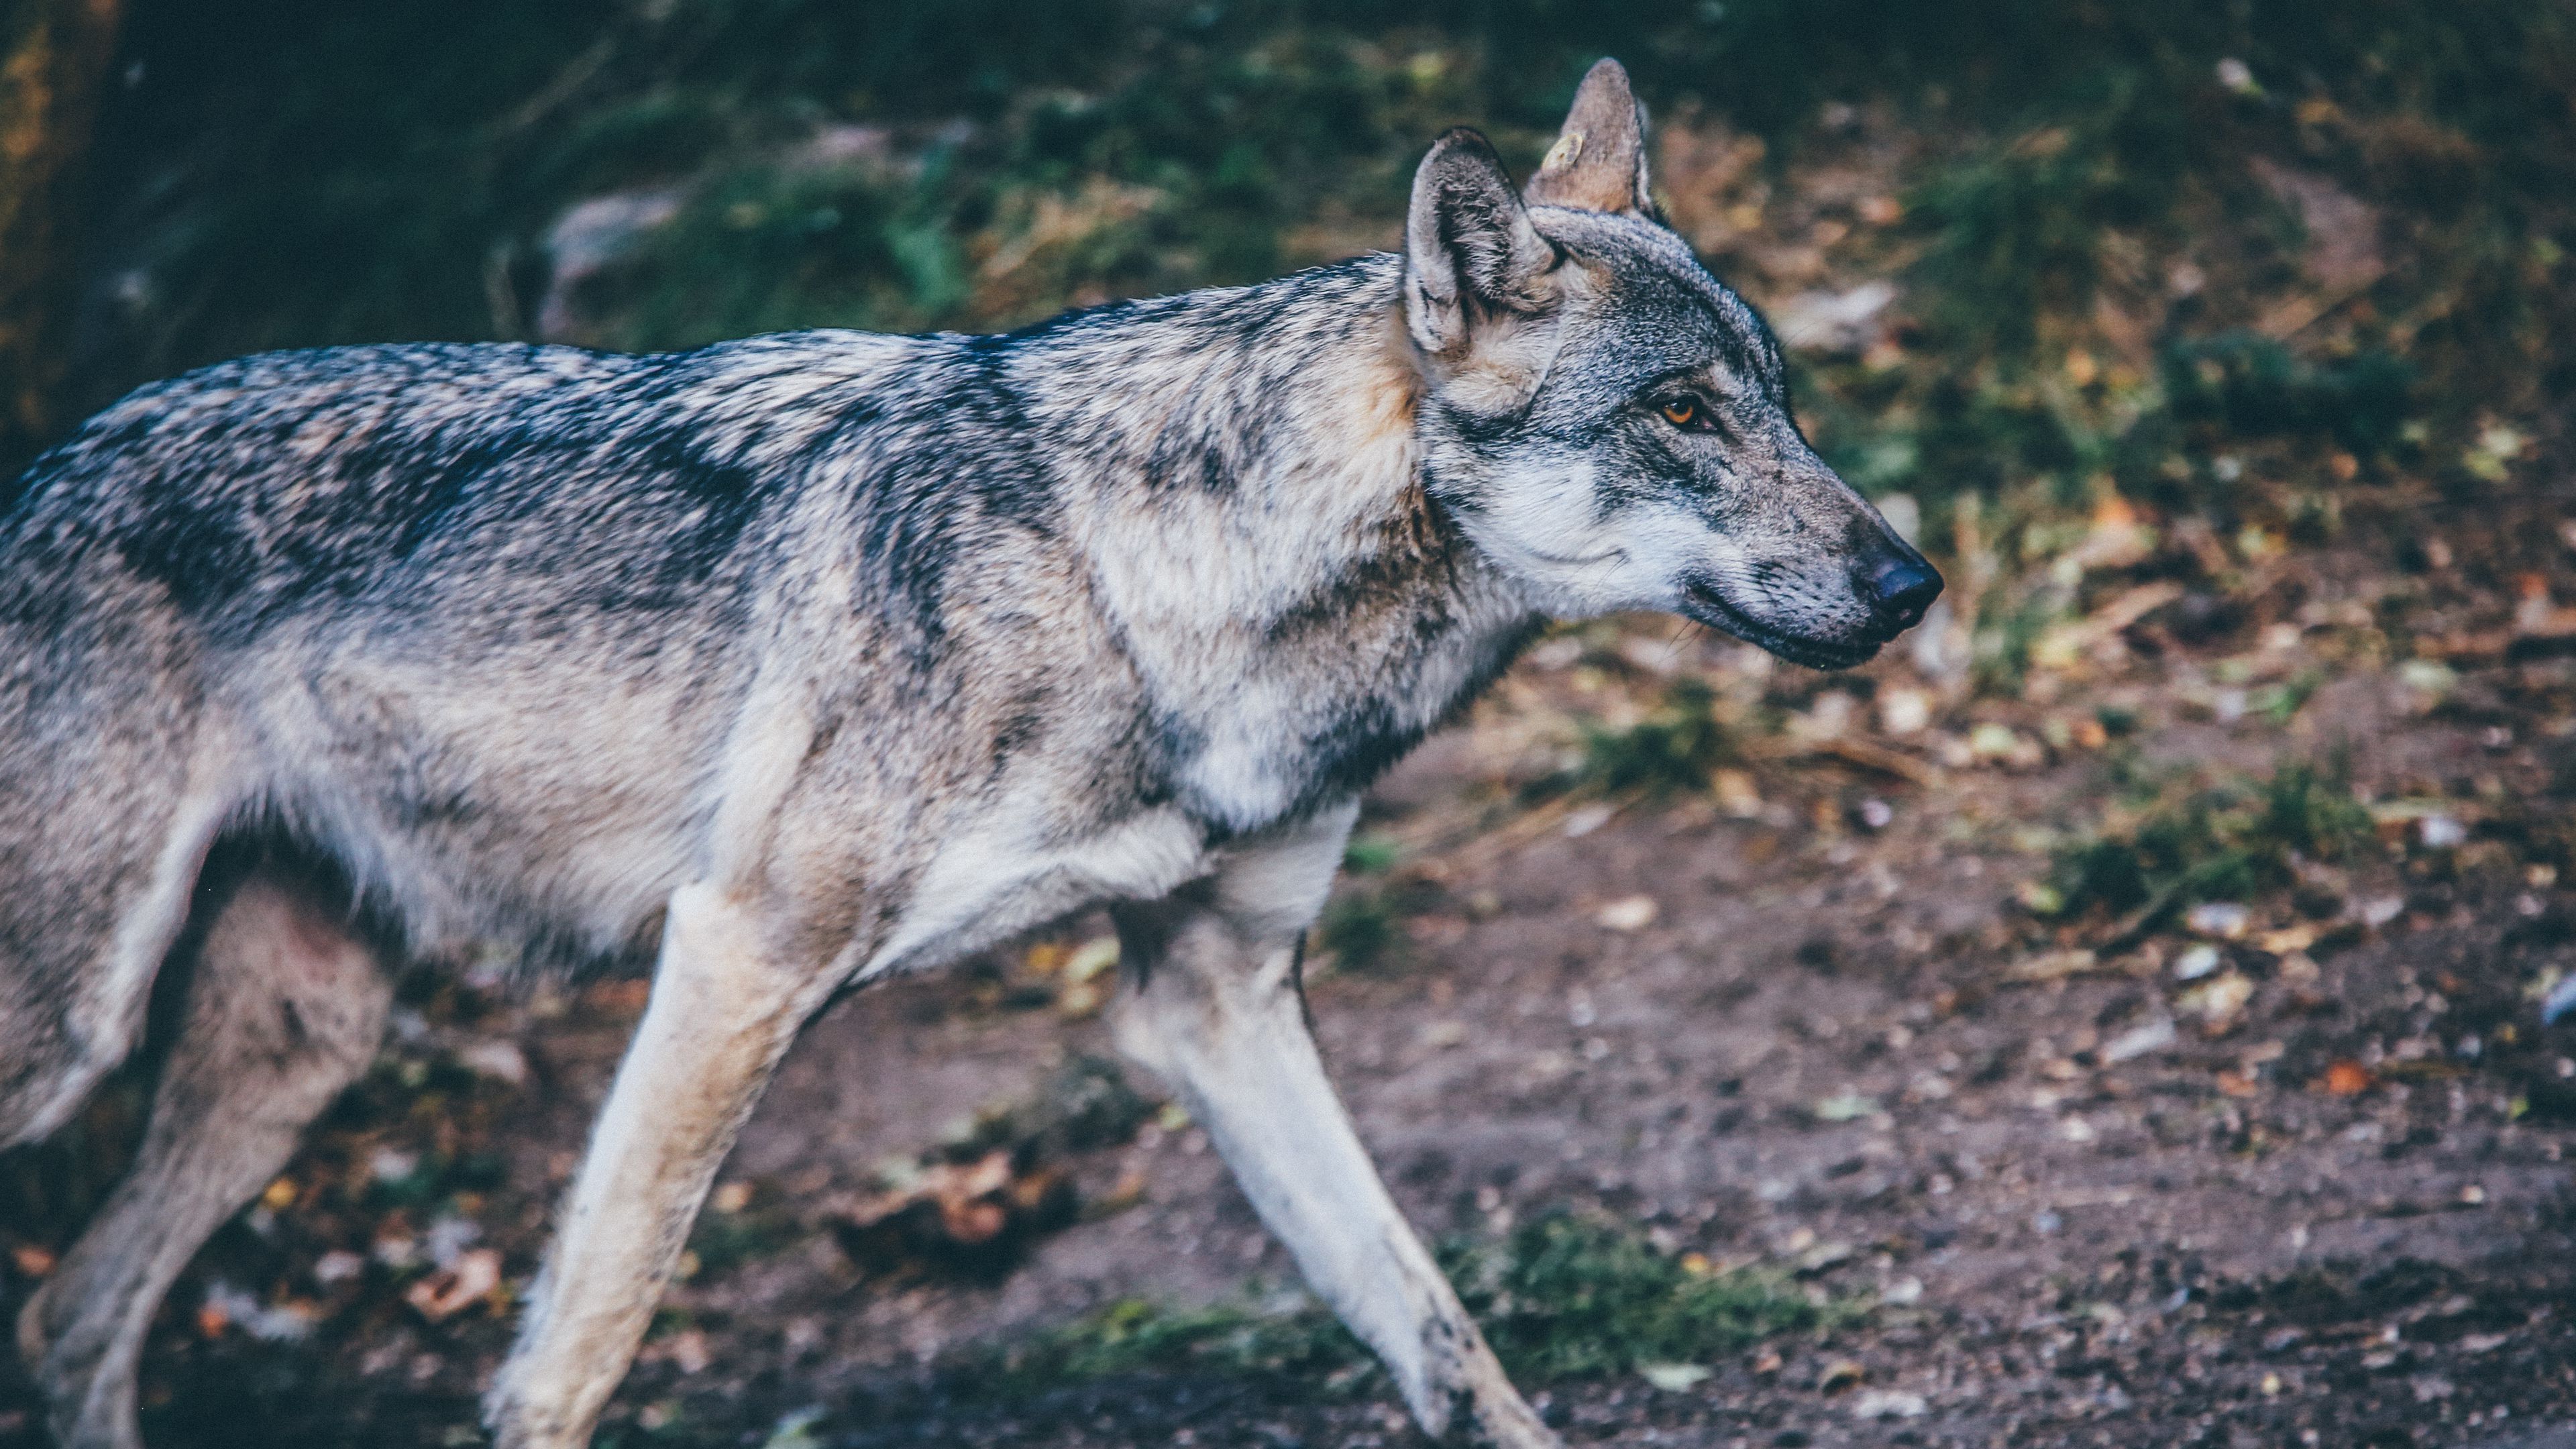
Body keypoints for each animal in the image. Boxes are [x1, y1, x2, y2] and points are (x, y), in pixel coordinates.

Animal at [0, 60, 1936, 1448]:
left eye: (1781, 399)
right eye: (1679, 413)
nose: (1911, 582)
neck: (1146, 590)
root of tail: (49, 456)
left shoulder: (1218, 997)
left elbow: (1439, 1331)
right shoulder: (737, 957)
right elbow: (578, 1349)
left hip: (299, 1047)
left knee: (70, 1315)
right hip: (81, 1033)